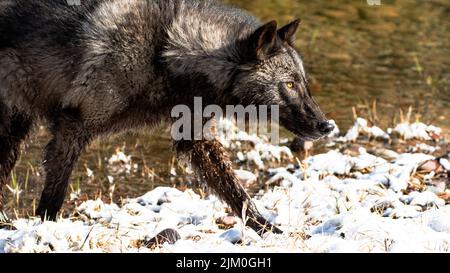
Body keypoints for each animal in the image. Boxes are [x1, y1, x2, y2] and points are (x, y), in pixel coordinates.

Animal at [0, 0, 334, 234]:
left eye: (303, 82)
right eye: (289, 84)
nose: (326, 125)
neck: (164, 51)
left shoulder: (196, 139)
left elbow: (237, 194)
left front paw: (267, 229)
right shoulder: (72, 127)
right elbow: (54, 195)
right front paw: (45, 229)